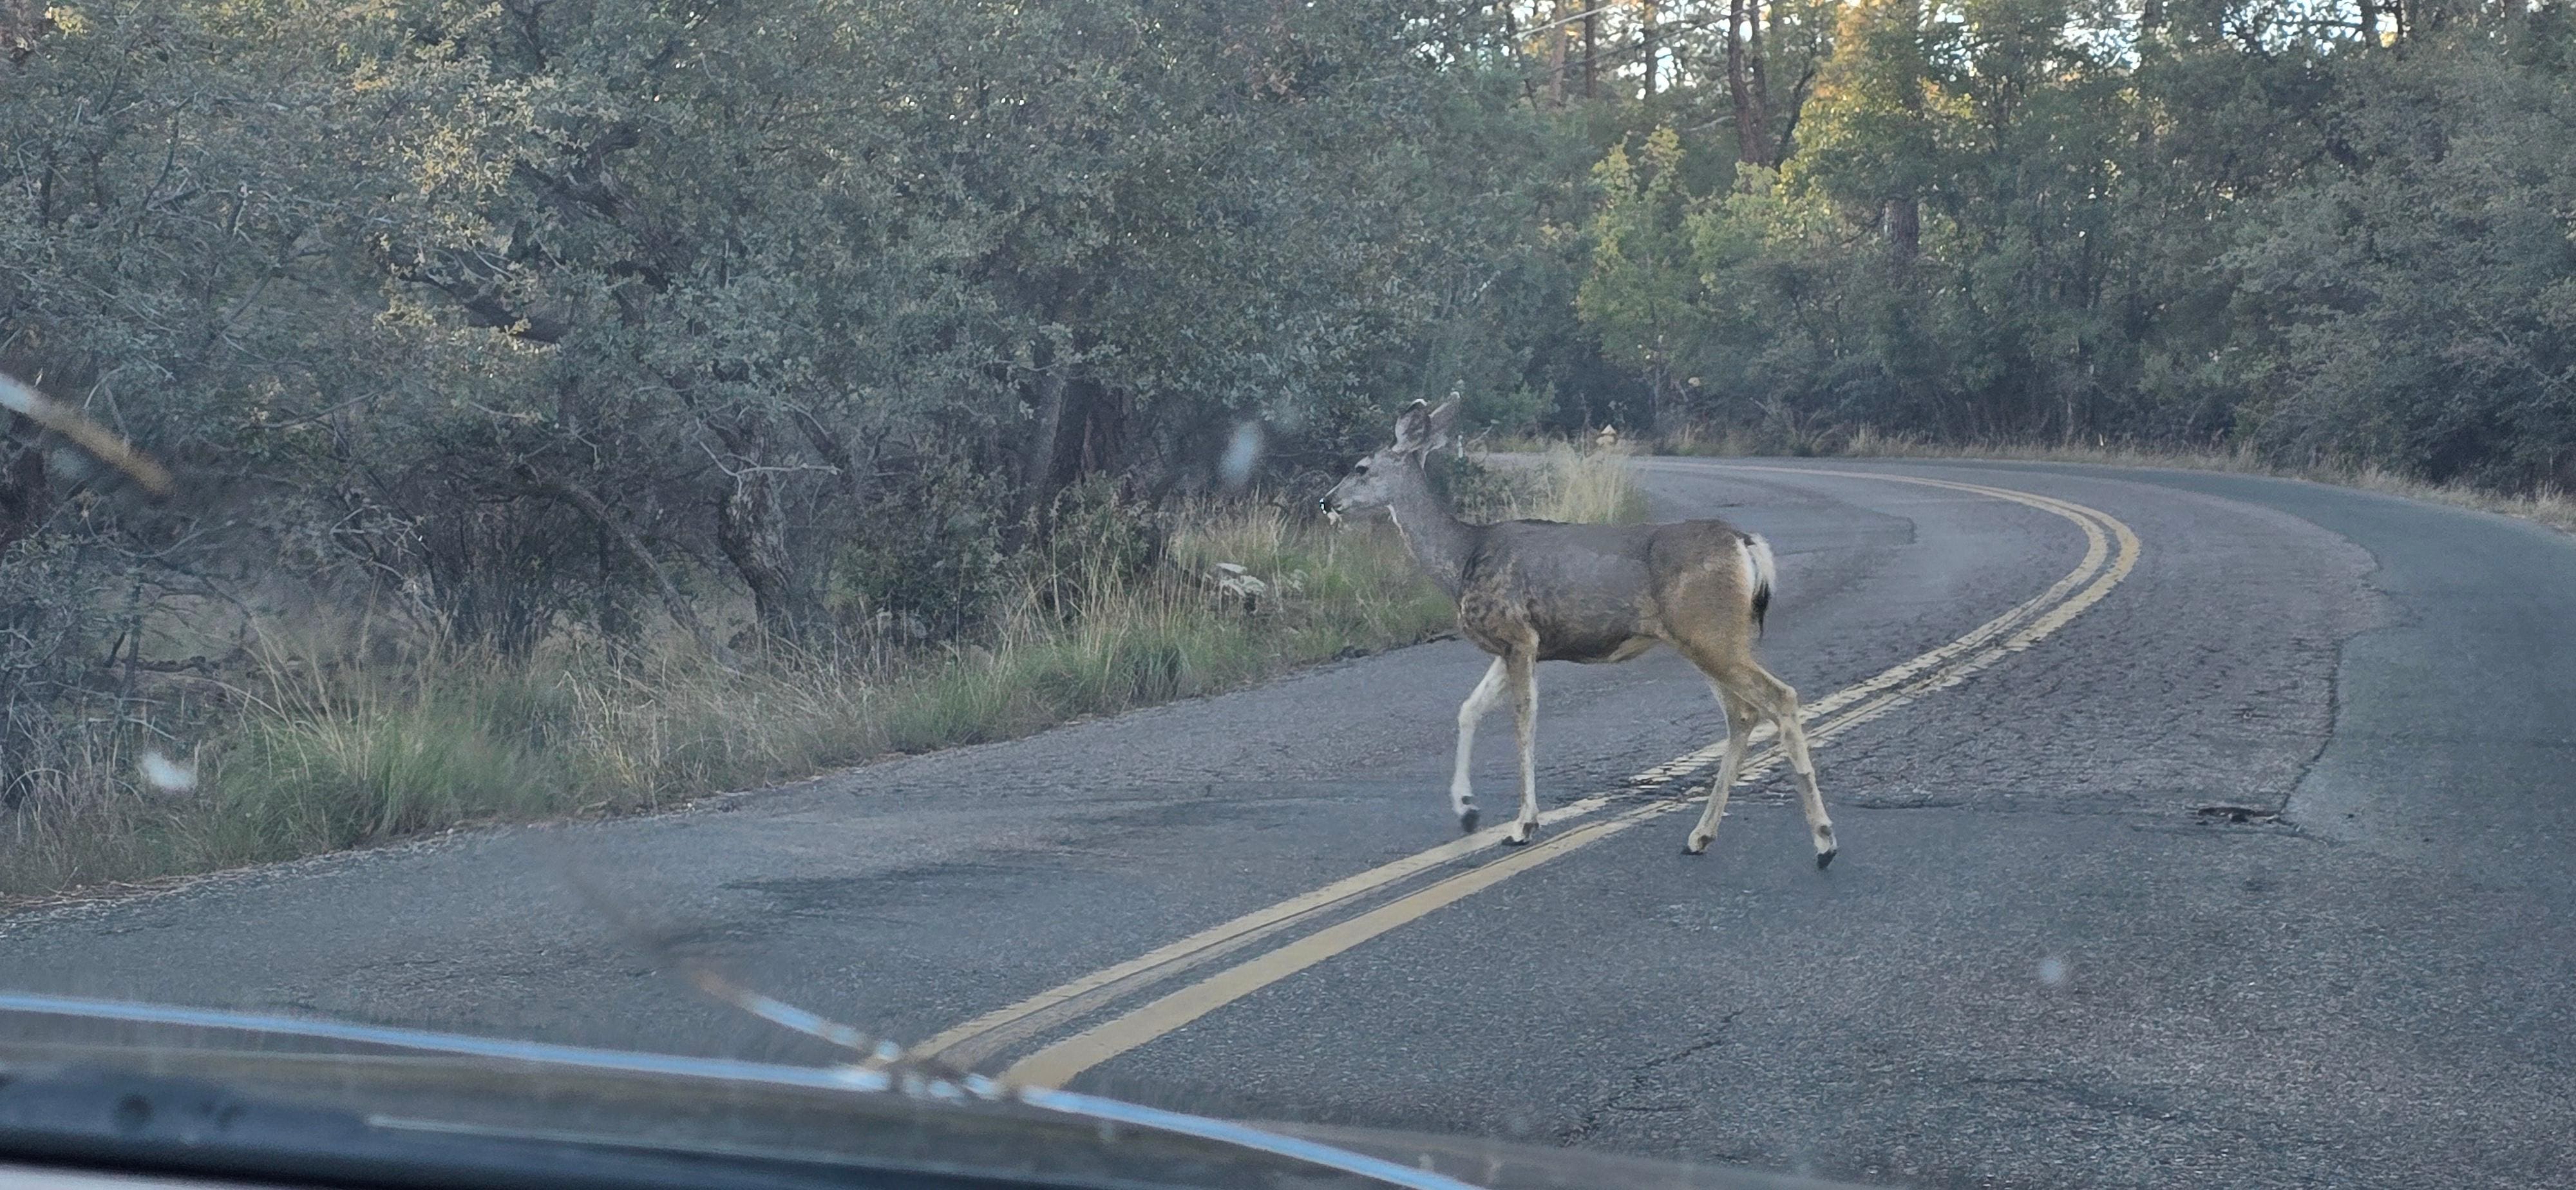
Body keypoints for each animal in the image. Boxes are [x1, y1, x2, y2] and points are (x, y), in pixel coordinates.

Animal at [1320, 397, 1834, 867]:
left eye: (1361, 468)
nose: (1328, 500)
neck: (1461, 560)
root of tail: (1745, 544)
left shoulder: (1518, 636)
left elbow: (1523, 723)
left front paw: (1523, 824)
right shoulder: (1515, 645)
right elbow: (1468, 710)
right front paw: (1467, 810)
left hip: (1709, 632)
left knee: (1780, 698)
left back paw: (1824, 842)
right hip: (1708, 638)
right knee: (1743, 714)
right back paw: (1700, 836)